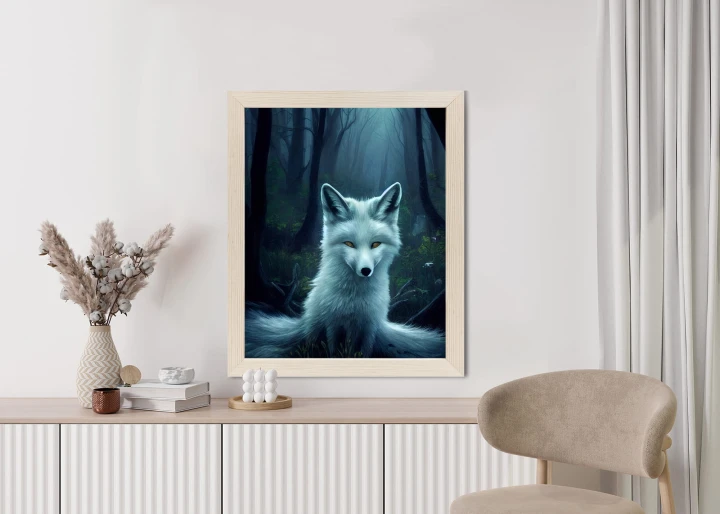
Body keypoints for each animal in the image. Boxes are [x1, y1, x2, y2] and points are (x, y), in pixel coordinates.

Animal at [245, 182, 445, 358]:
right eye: (349, 243)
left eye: (375, 244)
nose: (365, 271)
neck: (354, 299)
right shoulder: (333, 324)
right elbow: (334, 352)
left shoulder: (369, 327)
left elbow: (363, 353)